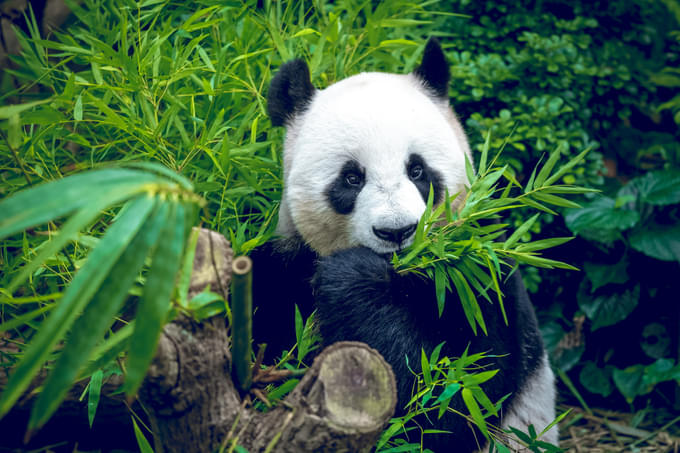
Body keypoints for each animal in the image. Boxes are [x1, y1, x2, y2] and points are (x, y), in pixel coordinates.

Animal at [251, 37, 556, 450]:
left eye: (417, 170)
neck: (404, 274)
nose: (396, 231)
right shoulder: (284, 268)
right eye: (351, 178)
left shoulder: (479, 280)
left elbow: (452, 397)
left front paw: (351, 278)